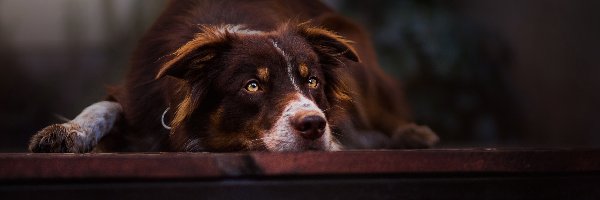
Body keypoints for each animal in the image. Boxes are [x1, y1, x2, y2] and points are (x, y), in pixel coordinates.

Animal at [28, 0, 438, 152]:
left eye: (312, 82)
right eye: (252, 86)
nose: (313, 125)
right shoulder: (136, 95)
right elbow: (102, 108)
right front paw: (66, 132)